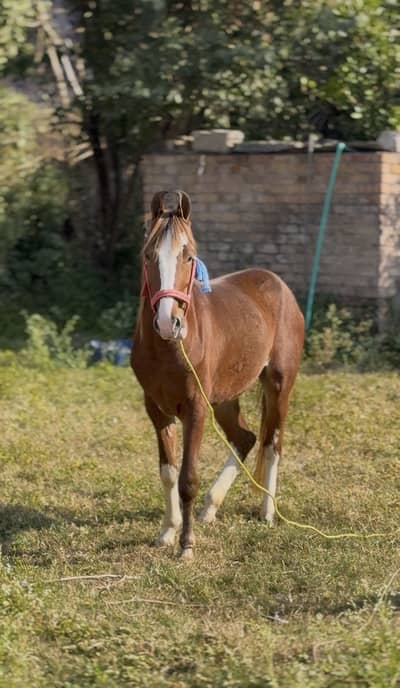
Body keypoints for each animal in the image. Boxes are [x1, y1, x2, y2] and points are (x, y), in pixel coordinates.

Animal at [131, 190, 304, 560]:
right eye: (149, 255)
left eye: (188, 256)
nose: (168, 322)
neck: (170, 348)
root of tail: (277, 283)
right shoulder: (156, 409)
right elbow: (168, 473)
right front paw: (168, 531)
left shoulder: (195, 409)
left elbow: (187, 479)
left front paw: (186, 546)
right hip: (225, 398)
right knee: (245, 438)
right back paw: (211, 507)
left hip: (279, 385)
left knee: (272, 443)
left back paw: (267, 511)